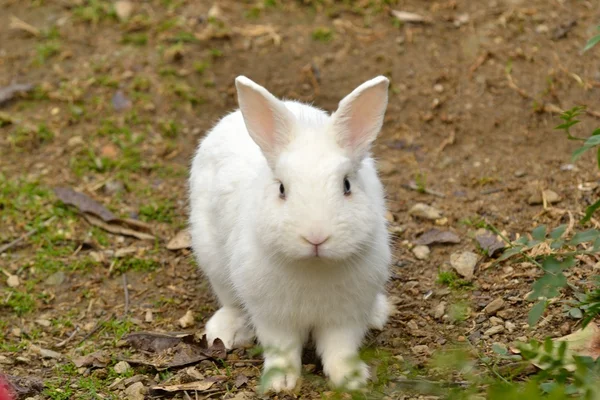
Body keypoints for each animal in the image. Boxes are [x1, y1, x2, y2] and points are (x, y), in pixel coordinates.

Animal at [190, 74, 392, 390]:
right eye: (282, 189)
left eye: (347, 185)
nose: (316, 237)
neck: (314, 266)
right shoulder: (272, 315)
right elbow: (282, 349)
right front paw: (280, 382)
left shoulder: (346, 315)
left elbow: (340, 348)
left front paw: (351, 379)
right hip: (212, 258)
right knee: (230, 301)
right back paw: (226, 331)